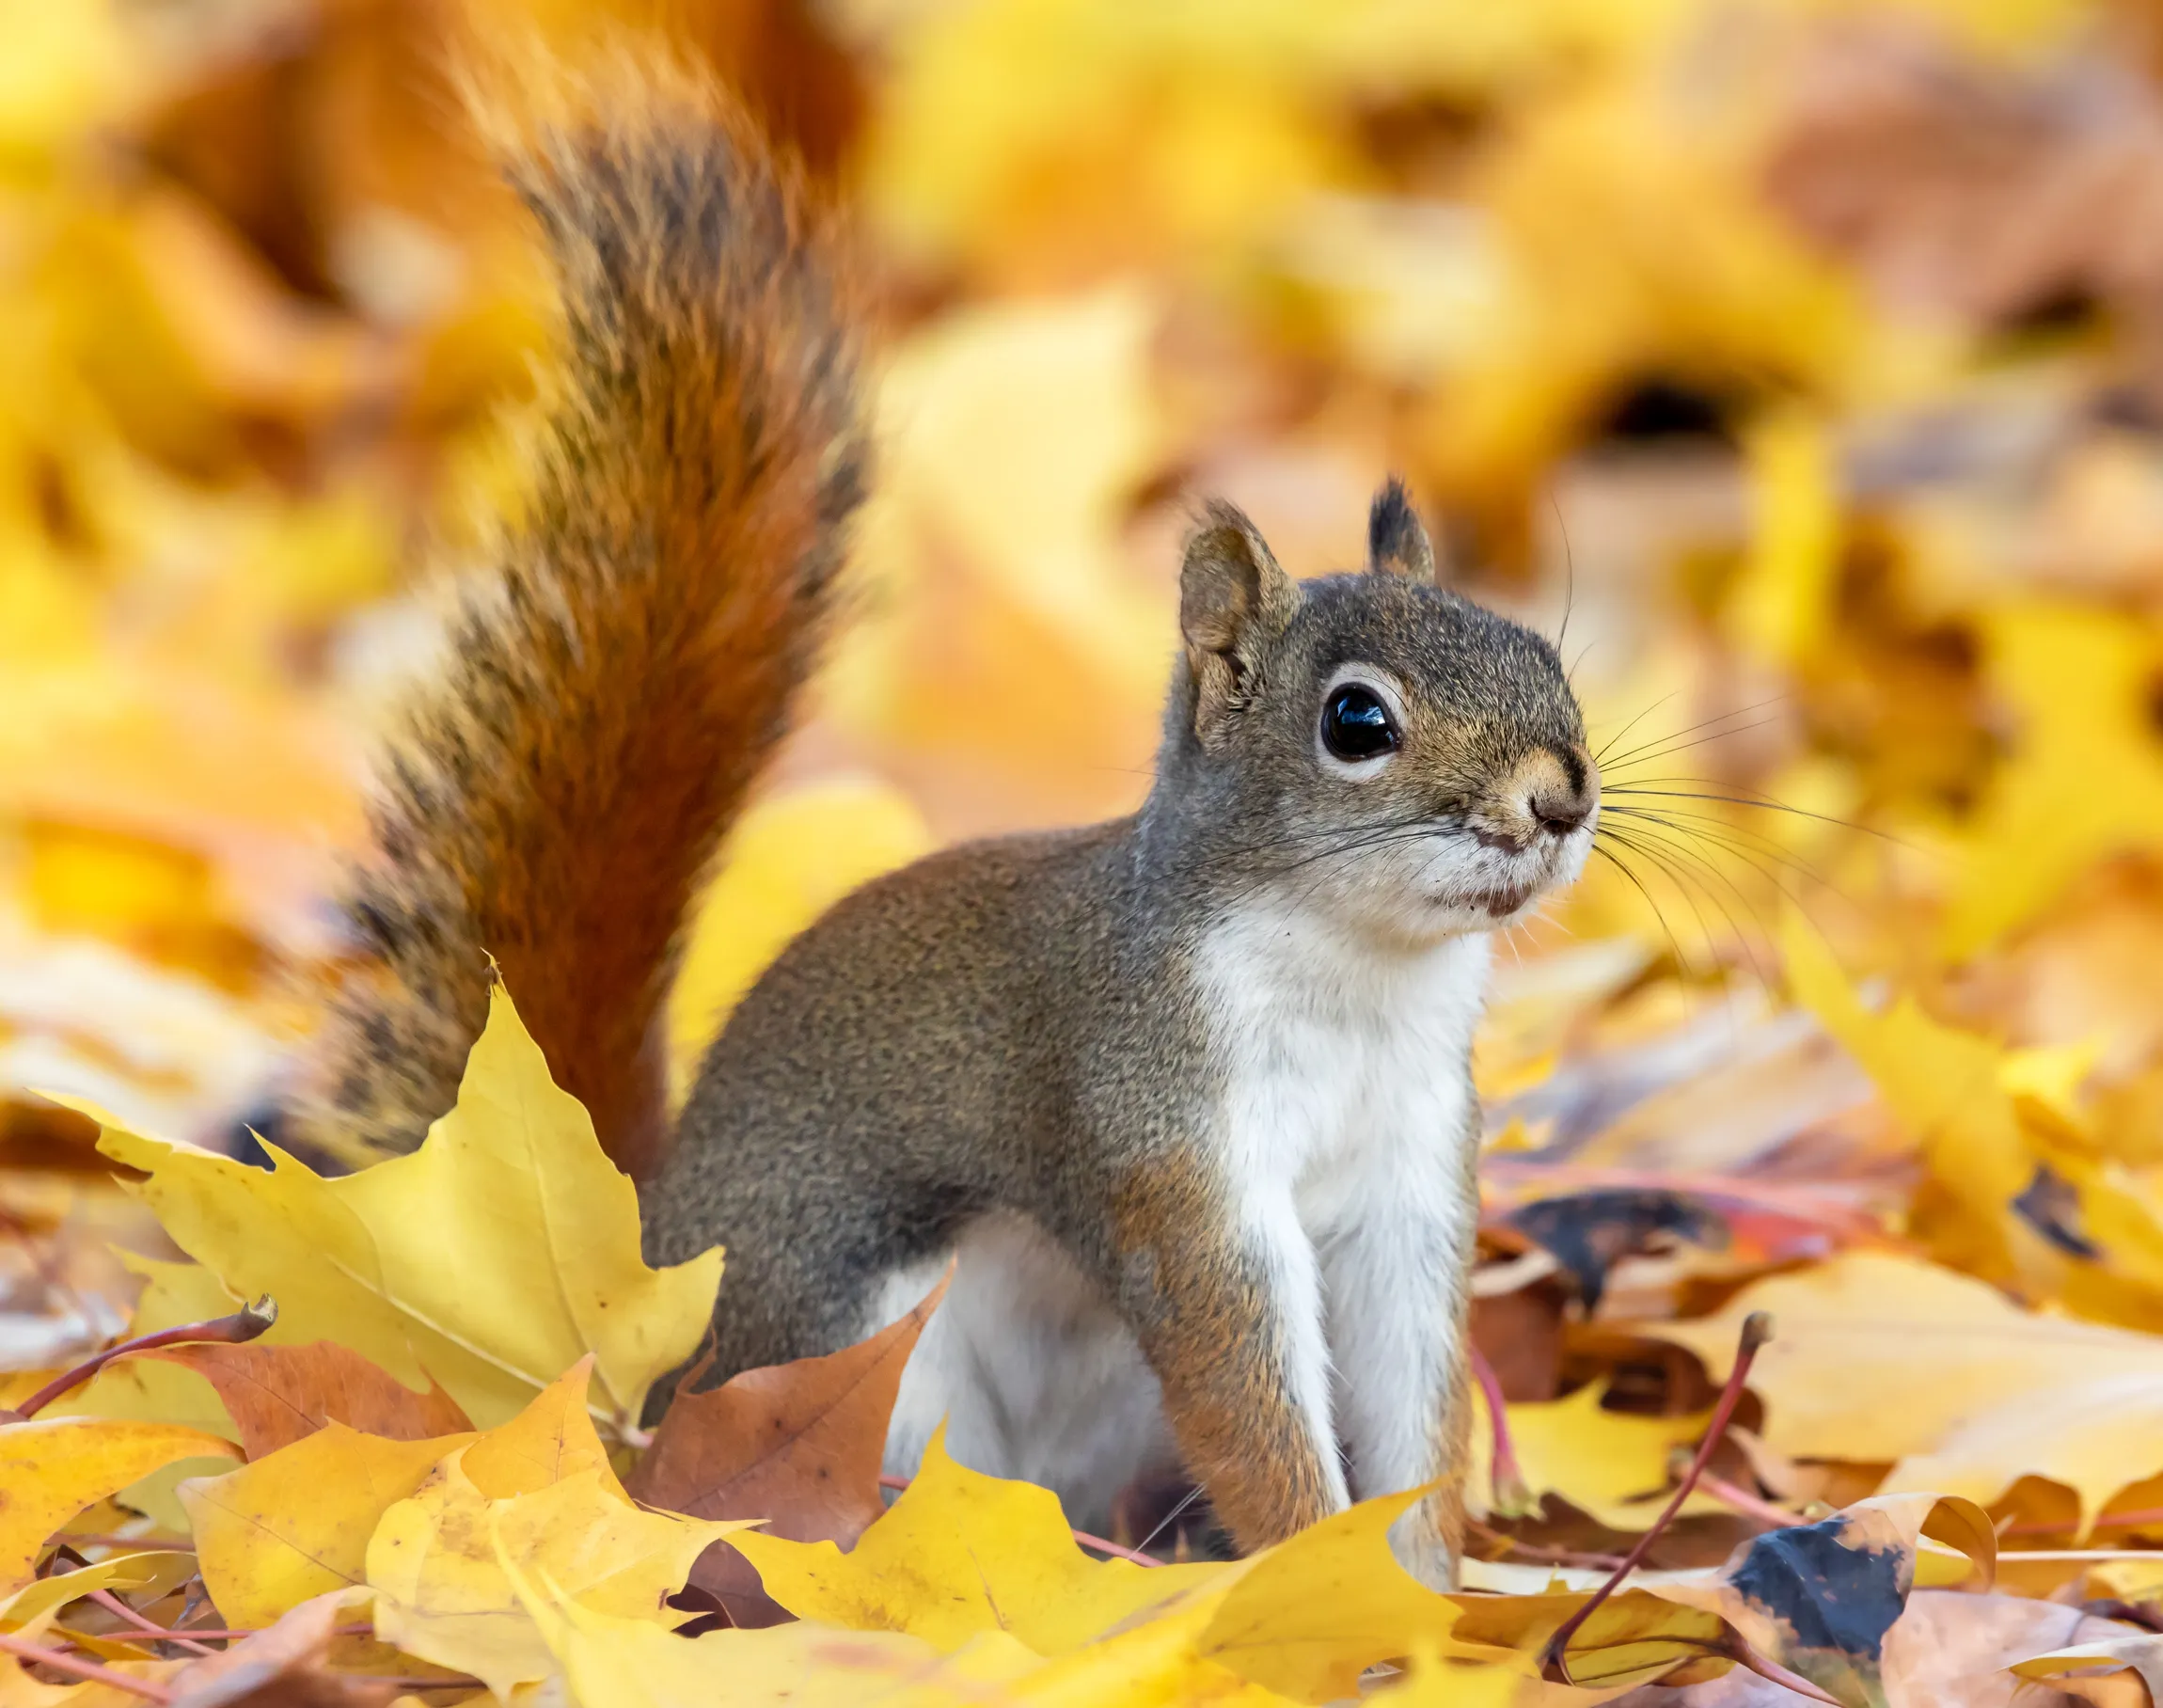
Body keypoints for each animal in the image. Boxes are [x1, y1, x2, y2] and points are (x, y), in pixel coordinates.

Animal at [291, 52, 1599, 1590]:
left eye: (1540, 649)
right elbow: (1245, 1393)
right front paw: (1320, 1576)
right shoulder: (1158, 1142)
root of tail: (640, 1281)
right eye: (1355, 722)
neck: (1357, 975)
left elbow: (1412, 1403)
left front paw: (1433, 1594)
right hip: (854, 1344)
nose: (1560, 794)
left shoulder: (1411, 1175)